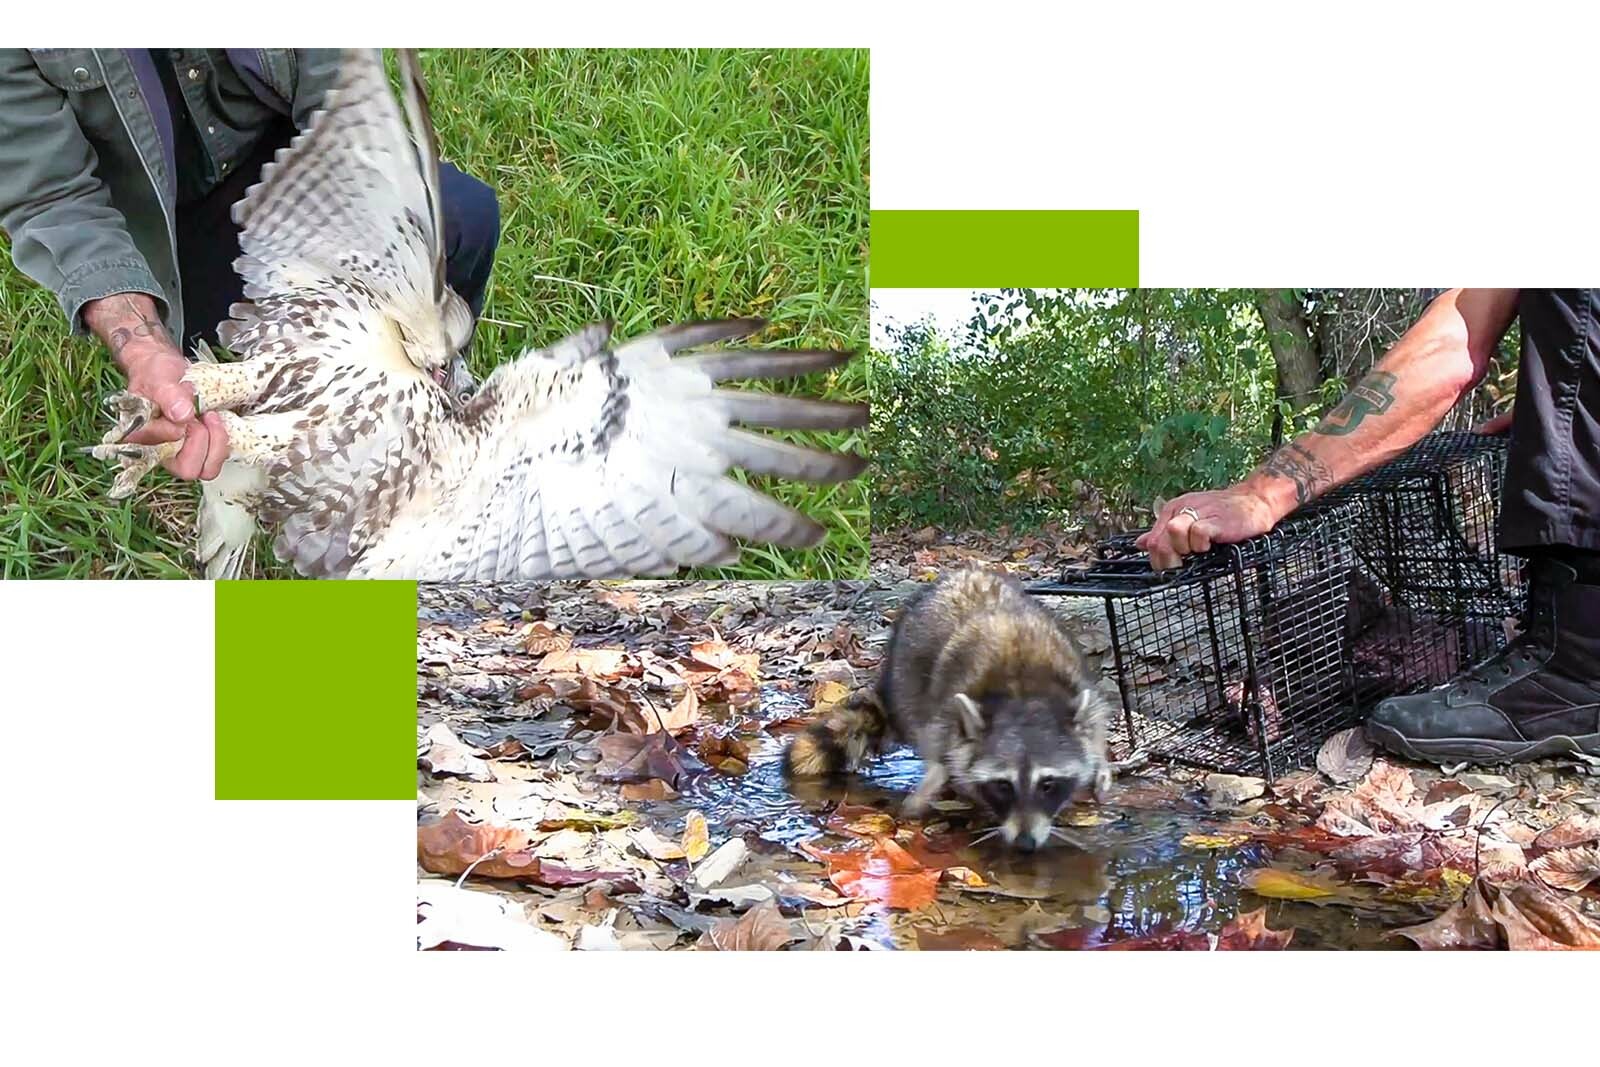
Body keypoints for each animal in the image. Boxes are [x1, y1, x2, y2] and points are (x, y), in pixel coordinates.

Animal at [784, 568, 1112, 851]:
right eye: (1003, 786)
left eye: (1048, 784)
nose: (1025, 843)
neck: (1023, 692)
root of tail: (962, 573)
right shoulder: (948, 704)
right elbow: (941, 745)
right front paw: (938, 778)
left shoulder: (1079, 685)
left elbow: (1095, 730)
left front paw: (1101, 767)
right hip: (907, 673)